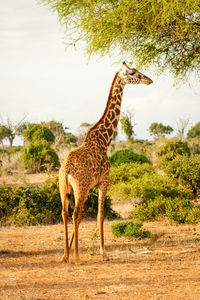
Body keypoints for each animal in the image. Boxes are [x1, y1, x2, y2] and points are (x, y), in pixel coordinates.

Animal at [58, 61, 152, 262]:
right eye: (133, 73)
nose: (149, 80)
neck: (104, 140)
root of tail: (67, 168)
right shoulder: (104, 181)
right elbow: (101, 215)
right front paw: (103, 253)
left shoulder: (91, 185)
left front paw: (69, 252)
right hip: (81, 187)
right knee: (76, 214)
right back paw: (77, 257)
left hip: (63, 188)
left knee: (65, 213)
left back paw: (65, 256)